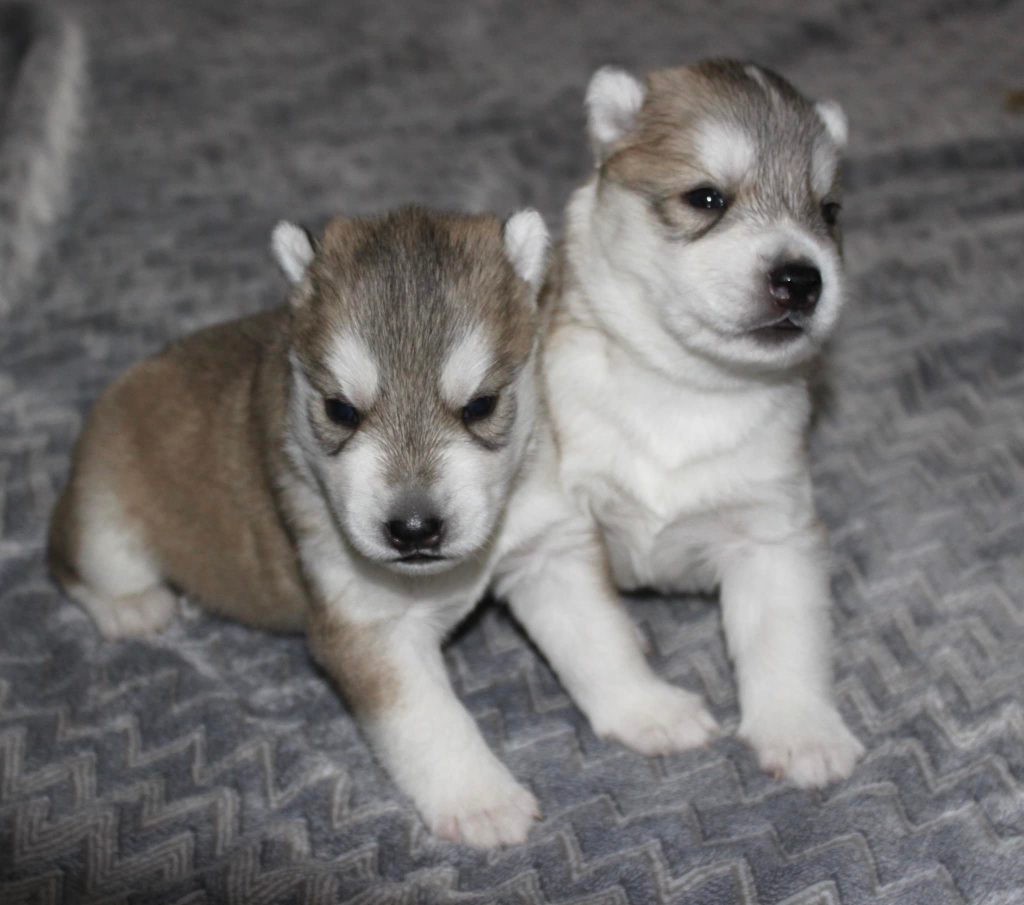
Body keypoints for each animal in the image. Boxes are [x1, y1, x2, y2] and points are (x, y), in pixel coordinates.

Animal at [49, 205, 716, 848]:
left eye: (480, 406)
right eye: (341, 410)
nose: (414, 529)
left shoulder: (549, 553)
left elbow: (600, 641)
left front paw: (648, 709)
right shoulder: (369, 628)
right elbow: (430, 720)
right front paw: (479, 800)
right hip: (104, 525)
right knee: (69, 563)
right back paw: (131, 607)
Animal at [541, 60, 865, 787]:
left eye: (828, 211)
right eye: (706, 198)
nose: (802, 279)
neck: (684, 388)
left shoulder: (774, 533)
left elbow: (785, 642)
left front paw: (801, 732)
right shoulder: (560, 530)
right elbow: (594, 637)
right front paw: (651, 714)